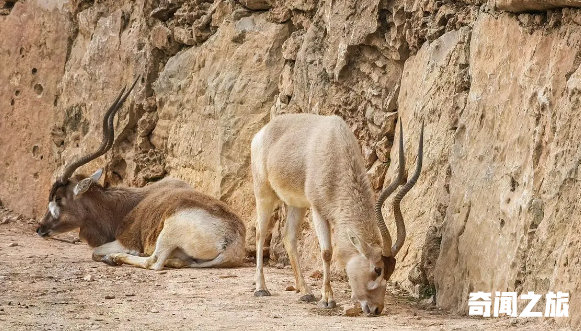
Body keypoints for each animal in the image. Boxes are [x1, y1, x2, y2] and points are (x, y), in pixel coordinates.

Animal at [35, 79, 245, 272]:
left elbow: (95, 252)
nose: (40, 228)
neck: (123, 205)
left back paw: (117, 257)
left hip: (169, 231)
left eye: (58, 198)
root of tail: (233, 241)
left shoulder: (124, 240)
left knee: (154, 262)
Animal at [251, 114, 424, 316]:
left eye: (391, 271)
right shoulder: (318, 210)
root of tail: (261, 133)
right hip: (264, 193)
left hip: (297, 204)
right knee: (260, 232)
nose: (376, 309)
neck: (335, 147)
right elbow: (327, 252)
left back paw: (305, 291)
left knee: (288, 237)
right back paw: (261, 288)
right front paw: (328, 299)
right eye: (377, 269)